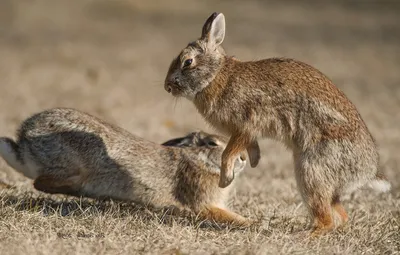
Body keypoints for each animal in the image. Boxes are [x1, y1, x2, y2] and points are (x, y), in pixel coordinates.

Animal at [165, 12, 390, 234]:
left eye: (188, 62)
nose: (167, 86)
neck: (215, 76)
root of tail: (366, 173)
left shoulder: (246, 124)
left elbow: (229, 153)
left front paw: (225, 179)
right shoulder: (248, 133)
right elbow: (250, 147)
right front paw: (254, 161)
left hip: (311, 169)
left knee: (326, 218)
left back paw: (306, 235)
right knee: (340, 214)